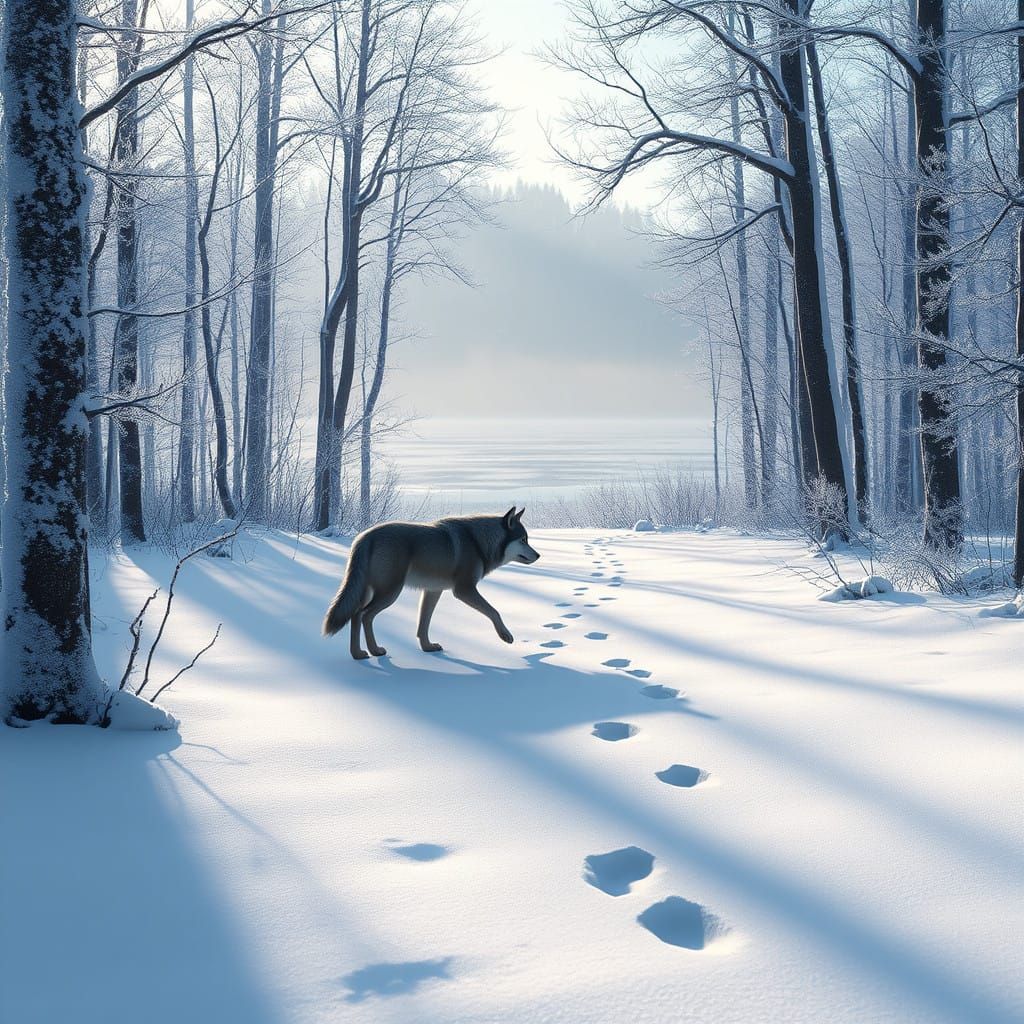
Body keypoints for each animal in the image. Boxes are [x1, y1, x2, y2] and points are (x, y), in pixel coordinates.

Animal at [322, 507, 540, 659]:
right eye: (523, 539)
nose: (538, 555)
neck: (478, 542)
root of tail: (363, 537)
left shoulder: (433, 591)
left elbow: (423, 625)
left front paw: (427, 648)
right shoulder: (464, 590)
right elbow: (494, 611)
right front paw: (506, 635)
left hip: (371, 593)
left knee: (356, 615)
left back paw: (358, 654)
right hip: (390, 593)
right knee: (364, 615)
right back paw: (374, 650)